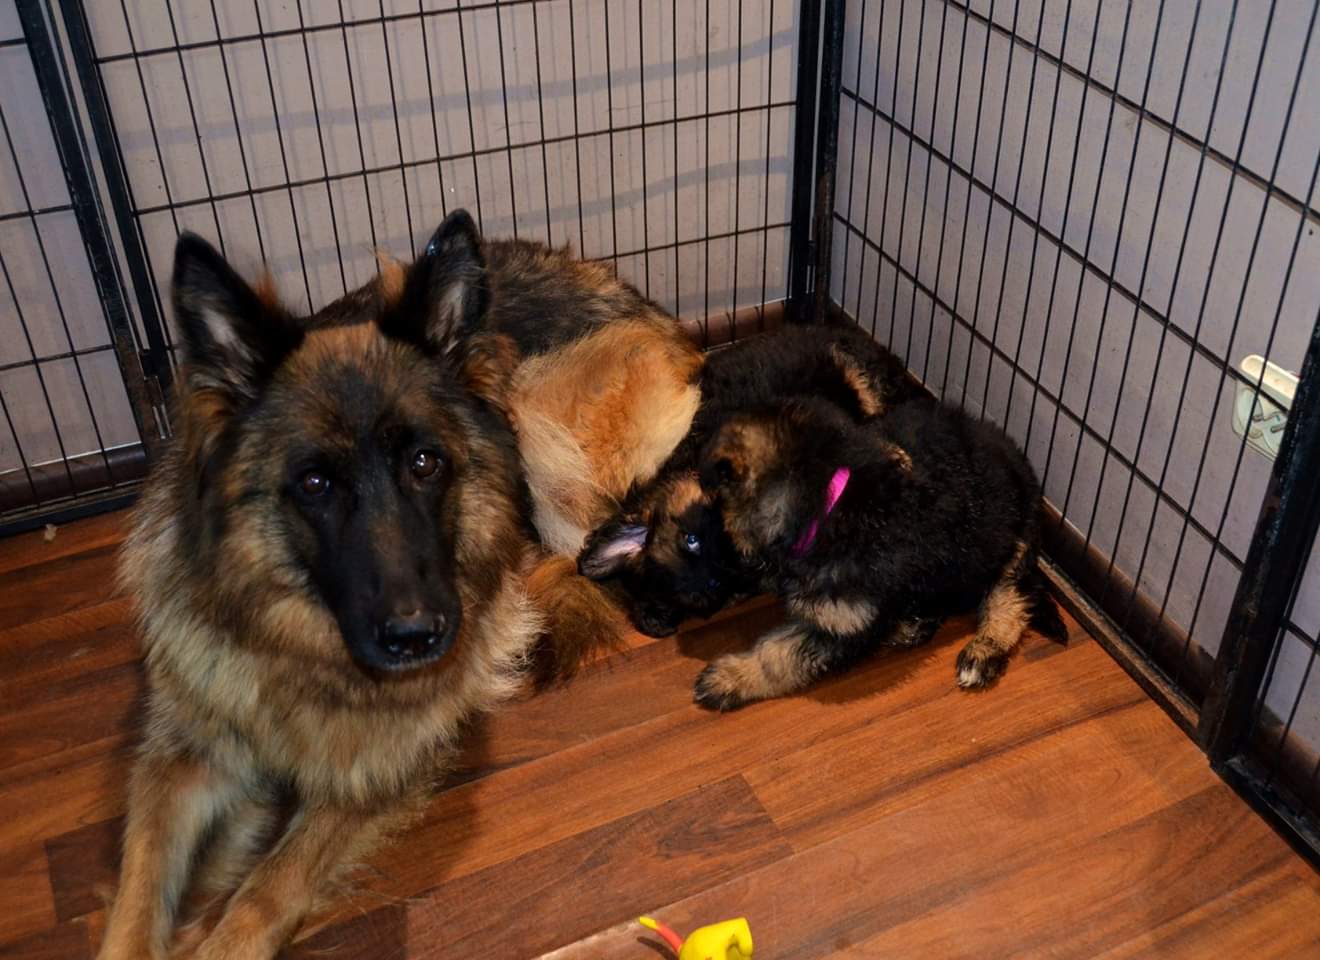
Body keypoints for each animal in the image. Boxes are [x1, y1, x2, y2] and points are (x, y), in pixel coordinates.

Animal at [102, 211, 693, 958]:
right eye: (315, 483)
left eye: (425, 463)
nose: (420, 636)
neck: (296, 647)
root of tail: (647, 305)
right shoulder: (177, 759)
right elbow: (136, 892)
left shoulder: (378, 769)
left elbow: (268, 889)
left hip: (537, 425)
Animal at [578, 324, 920, 637]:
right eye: (715, 586)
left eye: (691, 540)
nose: (742, 559)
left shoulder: (798, 414)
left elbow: (846, 439)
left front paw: (893, 456)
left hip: (854, 373)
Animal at [691, 393, 1067, 710]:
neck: (826, 503)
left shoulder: (844, 622)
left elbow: (778, 654)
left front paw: (730, 678)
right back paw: (911, 625)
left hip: (1016, 539)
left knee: (1012, 596)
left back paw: (984, 650)